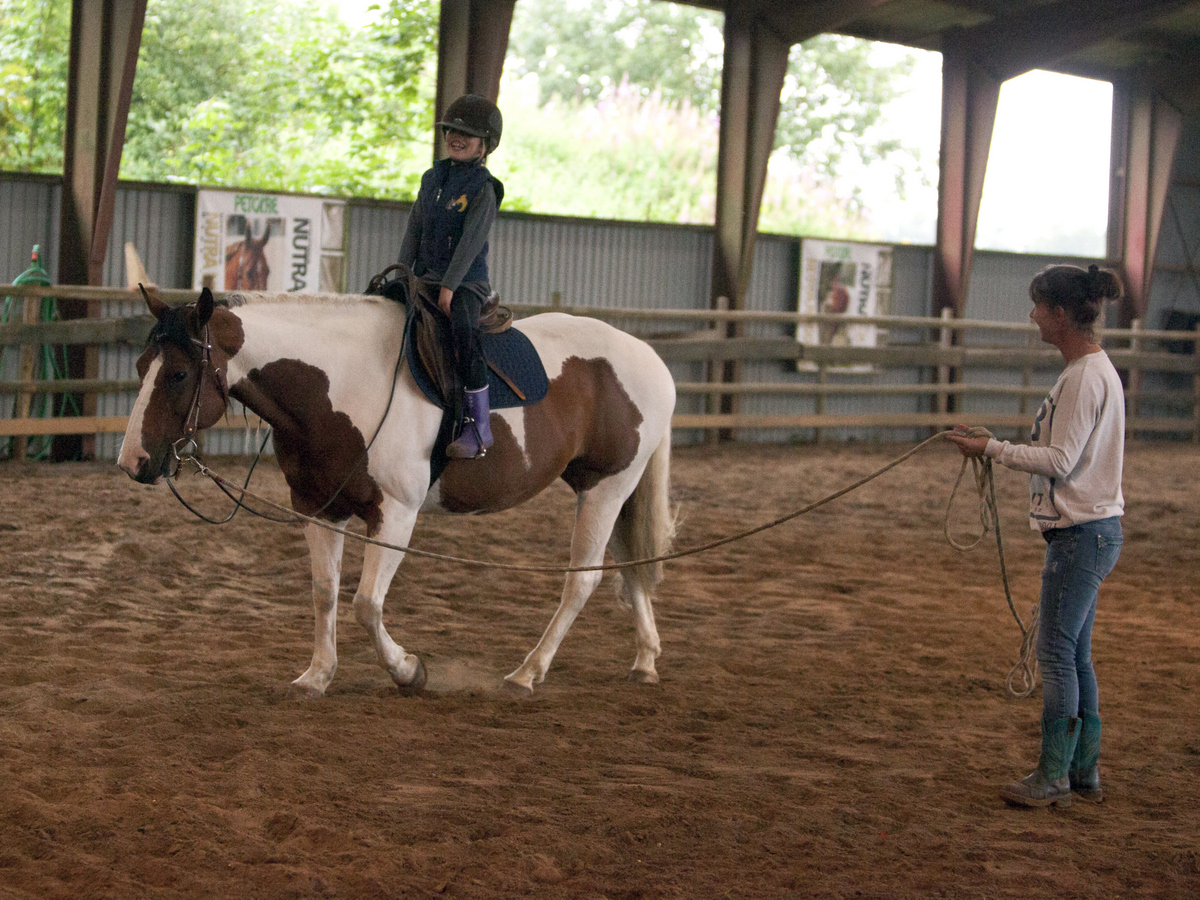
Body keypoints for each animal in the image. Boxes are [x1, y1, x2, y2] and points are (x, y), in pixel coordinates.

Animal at [117, 288, 677, 700]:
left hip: (607, 488)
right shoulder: (318, 509)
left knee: (582, 581)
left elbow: (366, 604)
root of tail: (649, 356)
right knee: (629, 565)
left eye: (178, 373)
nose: (132, 462)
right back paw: (645, 660)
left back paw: (527, 672)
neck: (340, 384)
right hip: (605, 490)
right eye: (141, 367)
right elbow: (325, 593)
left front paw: (409, 671)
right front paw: (317, 676)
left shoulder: (396, 515)